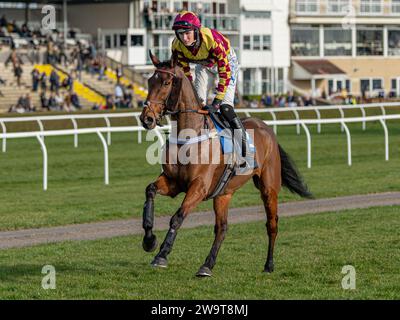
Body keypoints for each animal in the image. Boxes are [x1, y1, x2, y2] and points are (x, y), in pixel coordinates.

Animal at [139, 51, 314, 276]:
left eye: (167, 82)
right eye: (150, 81)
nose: (147, 118)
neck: (190, 135)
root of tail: (265, 127)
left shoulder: (199, 187)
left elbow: (177, 217)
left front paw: (161, 255)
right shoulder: (173, 182)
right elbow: (150, 190)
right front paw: (149, 240)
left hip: (269, 188)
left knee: (271, 224)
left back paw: (269, 264)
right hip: (223, 193)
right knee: (222, 227)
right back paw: (207, 265)